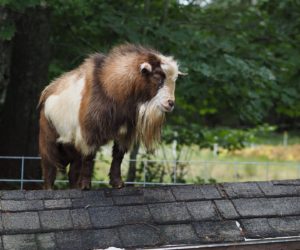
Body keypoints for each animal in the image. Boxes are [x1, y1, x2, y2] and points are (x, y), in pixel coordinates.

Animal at [37, 44, 183, 189]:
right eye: (157, 76)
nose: (170, 103)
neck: (109, 87)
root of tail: (47, 93)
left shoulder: (124, 132)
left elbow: (118, 156)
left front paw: (117, 183)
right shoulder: (89, 132)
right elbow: (89, 157)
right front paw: (85, 185)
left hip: (73, 148)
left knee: (73, 170)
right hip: (48, 141)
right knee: (49, 169)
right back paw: (51, 188)